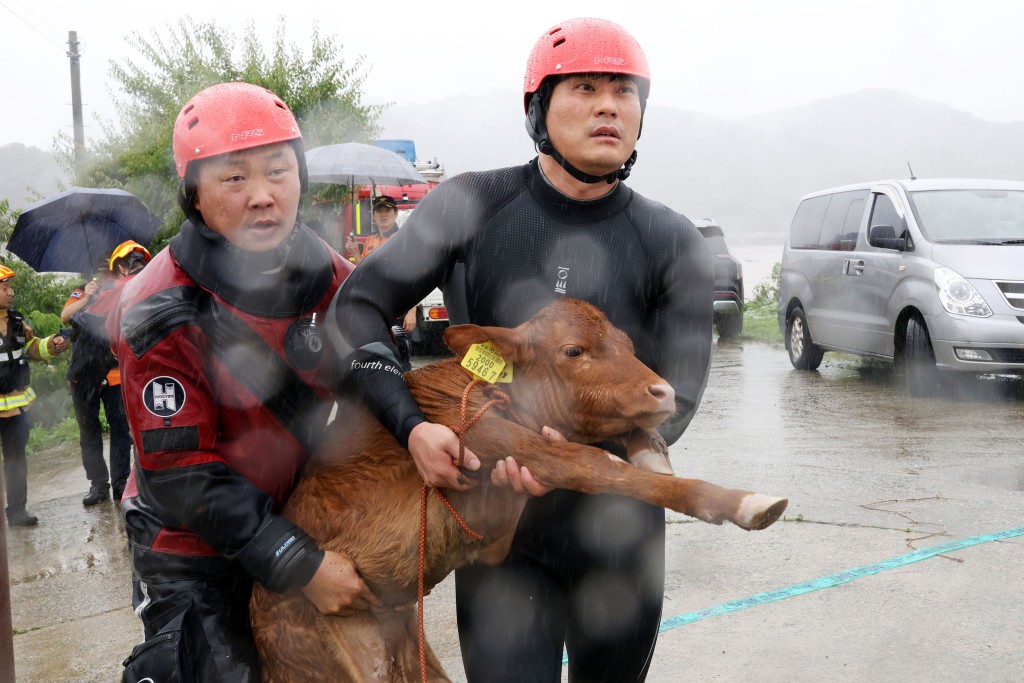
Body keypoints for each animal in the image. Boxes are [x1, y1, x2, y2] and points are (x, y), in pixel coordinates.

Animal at [251, 299, 786, 683]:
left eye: (627, 342)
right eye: (574, 351)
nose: (665, 391)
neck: (497, 392)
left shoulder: (494, 531)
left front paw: (651, 448)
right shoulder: (507, 446)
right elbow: (597, 467)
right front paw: (742, 502)